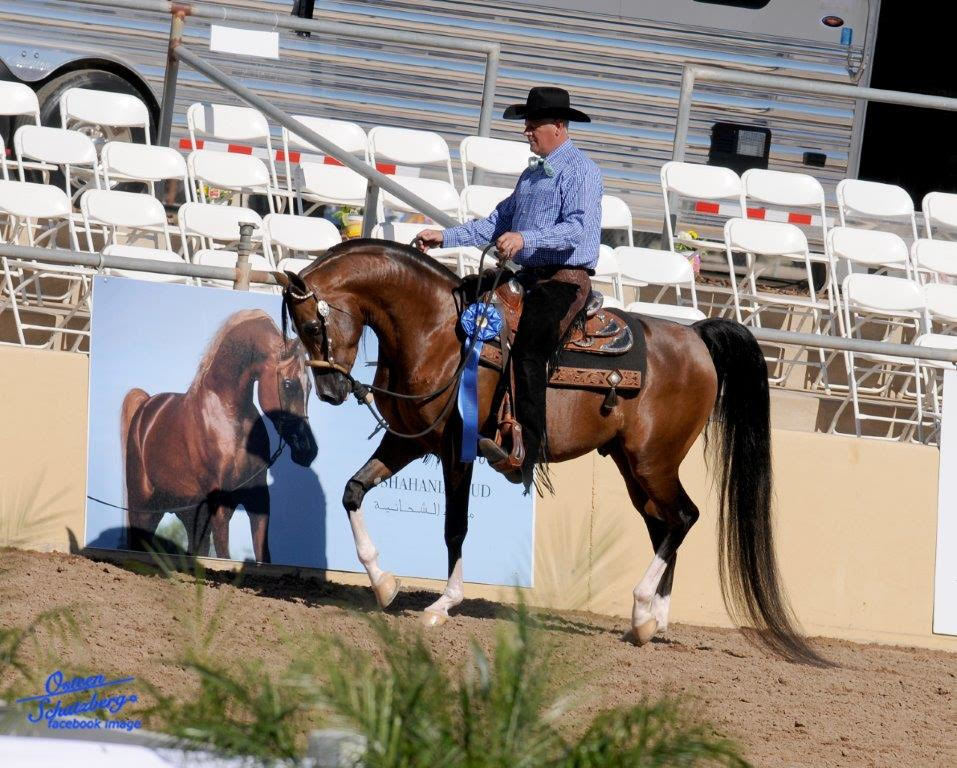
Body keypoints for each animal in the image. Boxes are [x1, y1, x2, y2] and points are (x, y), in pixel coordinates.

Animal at [121, 309, 318, 562]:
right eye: (288, 384)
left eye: (310, 387)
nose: (308, 450)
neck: (230, 415)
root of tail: (146, 407)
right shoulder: (221, 507)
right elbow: (224, 555)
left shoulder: (258, 502)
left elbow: (262, 556)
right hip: (144, 509)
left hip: (189, 514)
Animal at [276, 239, 826, 666]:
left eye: (312, 326)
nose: (331, 391)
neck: (437, 334)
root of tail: (694, 335)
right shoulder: (409, 441)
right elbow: (352, 491)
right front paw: (384, 584)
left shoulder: (457, 449)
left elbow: (454, 527)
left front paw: (444, 603)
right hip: (633, 464)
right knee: (664, 523)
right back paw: (650, 621)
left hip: (653, 460)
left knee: (684, 516)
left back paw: (643, 607)